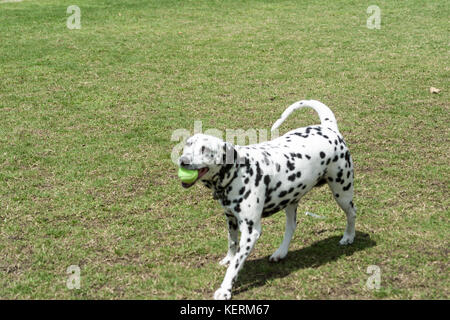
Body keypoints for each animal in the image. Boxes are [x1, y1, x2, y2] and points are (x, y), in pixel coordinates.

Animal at [178, 100, 356, 300]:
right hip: (291, 199)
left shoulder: (250, 232)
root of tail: (328, 127)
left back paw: (348, 237)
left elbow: (235, 266)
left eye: (205, 149)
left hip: (342, 192)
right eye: (188, 144)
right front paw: (228, 259)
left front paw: (225, 289)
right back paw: (281, 252)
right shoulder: (230, 219)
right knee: (291, 226)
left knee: (352, 214)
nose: (183, 160)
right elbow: (232, 244)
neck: (238, 171)